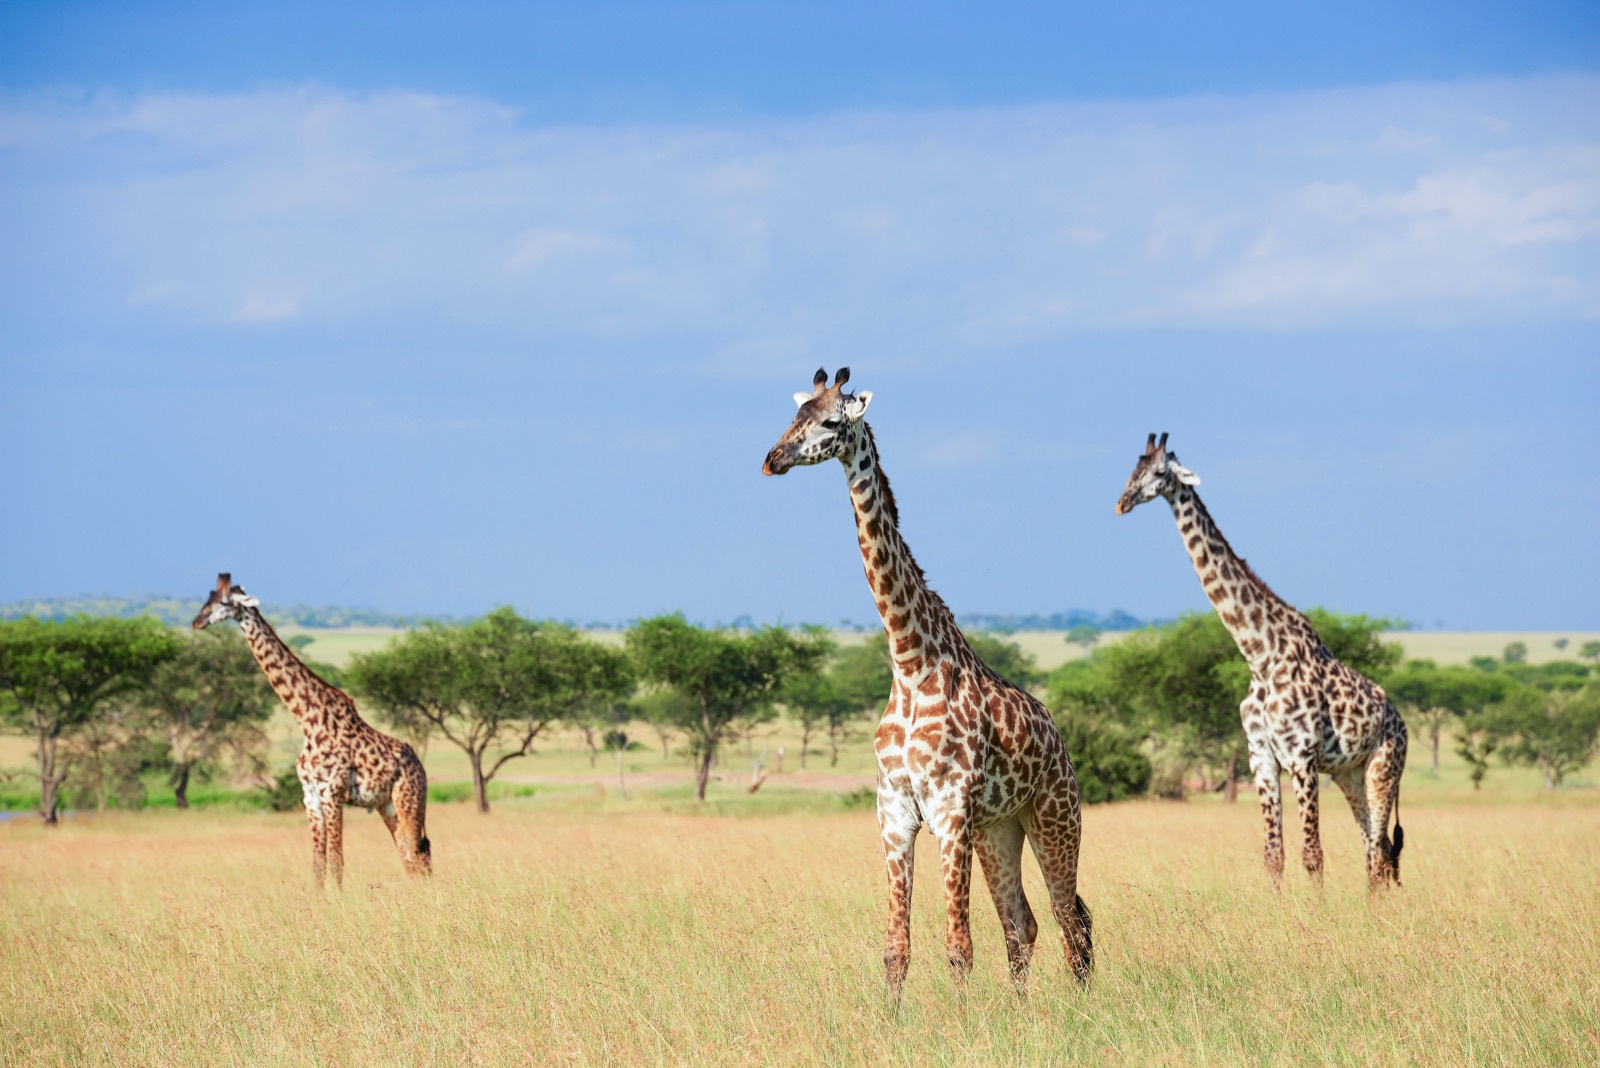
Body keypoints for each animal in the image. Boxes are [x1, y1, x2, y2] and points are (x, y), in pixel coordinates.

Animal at [192, 574, 431, 887]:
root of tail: (420, 766)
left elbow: (336, 861)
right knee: (408, 852)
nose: (197, 622)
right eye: (207, 598)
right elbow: (318, 863)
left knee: (419, 852)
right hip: (386, 804)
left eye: (223, 602)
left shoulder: (332, 792)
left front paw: (338, 899)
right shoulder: (310, 796)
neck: (308, 720)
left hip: (409, 799)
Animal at [763, 368, 1093, 997]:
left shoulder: (949, 812)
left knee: (1071, 924)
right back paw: (1022, 1008)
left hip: (1054, 819)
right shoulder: (894, 813)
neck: (910, 664)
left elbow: (958, 949)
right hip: (999, 830)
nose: (773, 459)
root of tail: (1061, 744)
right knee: (1023, 925)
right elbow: (896, 949)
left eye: (832, 421)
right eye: (794, 415)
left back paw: (1080, 1008)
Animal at [1115, 434, 1406, 891]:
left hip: (1384, 769)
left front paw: (1315, 909)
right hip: (1351, 774)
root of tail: (1401, 721)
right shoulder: (1261, 757)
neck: (1260, 656)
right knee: (1378, 850)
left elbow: (1312, 855)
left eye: (1159, 472)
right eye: (1134, 468)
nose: (1123, 501)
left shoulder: (1301, 756)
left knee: (1379, 851)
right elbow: (1273, 855)